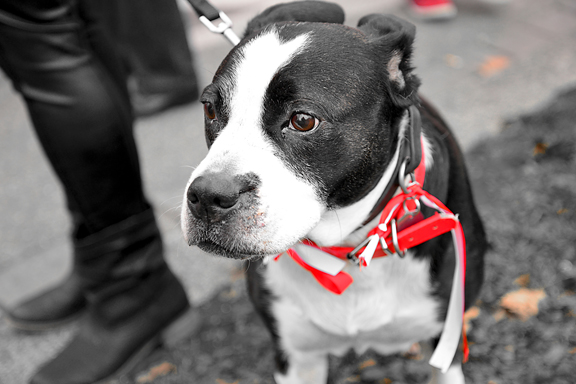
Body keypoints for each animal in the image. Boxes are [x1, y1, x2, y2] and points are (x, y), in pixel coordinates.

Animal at [181, 1, 486, 382]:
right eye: (210, 108)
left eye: (303, 120)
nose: (208, 196)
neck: (346, 249)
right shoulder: (295, 356)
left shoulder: (446, 342)